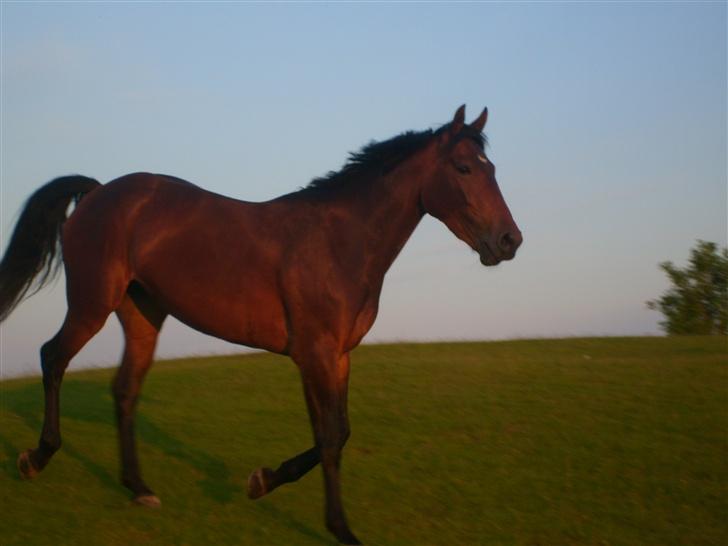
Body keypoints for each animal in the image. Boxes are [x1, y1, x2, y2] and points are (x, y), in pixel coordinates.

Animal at [0, 104, 524, 540]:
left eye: (492, 169)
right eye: (463, 168)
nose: (508, 241)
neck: (340, 242)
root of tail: (97, 193)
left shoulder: (334, 357)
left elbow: (335, 433)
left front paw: (262, 481)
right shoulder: (315, 353)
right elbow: (330, 438)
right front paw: (339, 529)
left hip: (143, 315)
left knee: (125, 389)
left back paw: (139, 488)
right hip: (92, 303)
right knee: (53, 357)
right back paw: (34, 459)